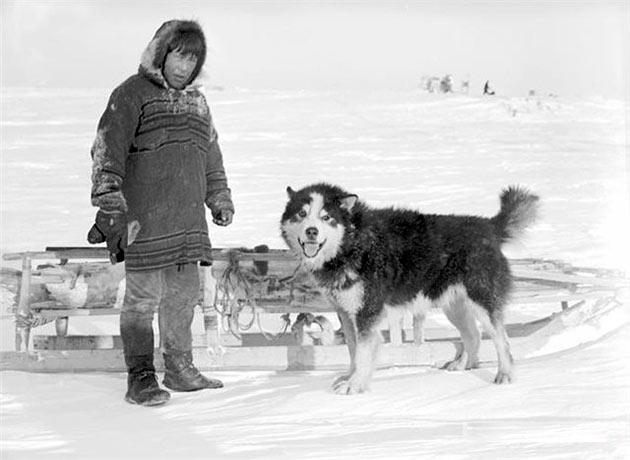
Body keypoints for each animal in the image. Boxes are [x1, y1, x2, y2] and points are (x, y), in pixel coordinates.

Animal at [282, 183, 544, 396]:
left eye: (326, 217)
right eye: (302, 214)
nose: (312, 231)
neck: (352, 243)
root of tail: (488, 226)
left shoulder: (367, 313)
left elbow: (364, 353)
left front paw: (355, 385)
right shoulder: (347, 314)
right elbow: (353, 351)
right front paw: (350, 377)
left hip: (482, 301)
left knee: (502, 342)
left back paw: (505, 374)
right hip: (454, 306)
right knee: (473, 336)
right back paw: (461, 365)